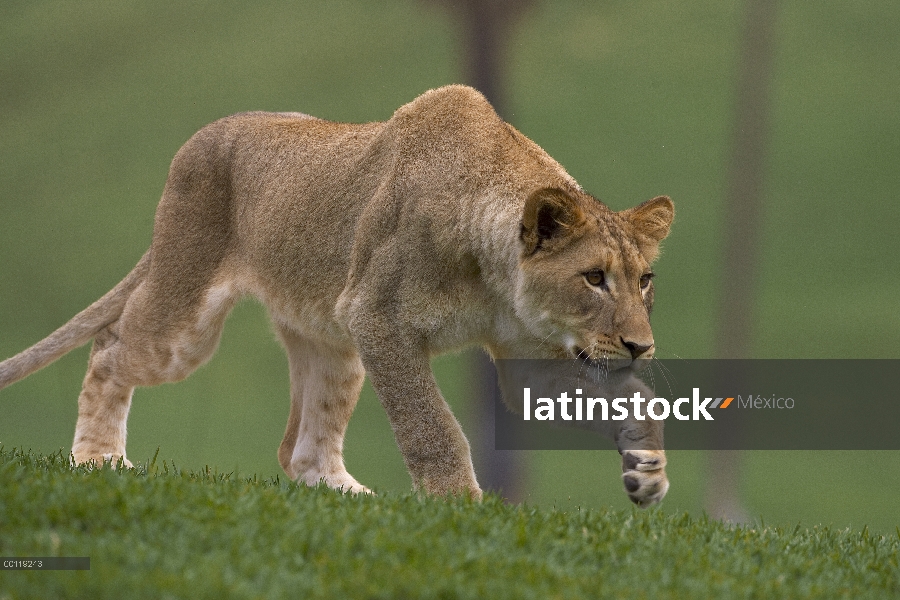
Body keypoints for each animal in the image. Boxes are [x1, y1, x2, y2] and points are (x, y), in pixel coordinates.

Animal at [0, 84, 672, 506]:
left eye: (643, 280)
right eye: (594, 277)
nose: (641, 347)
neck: (495, 279)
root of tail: (208, 131)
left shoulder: (527, 355)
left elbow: (617, 401)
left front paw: (647, 467)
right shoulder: (378, 318)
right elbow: (432, 426)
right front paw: (459, 508)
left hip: (332, 341)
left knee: (299, 447)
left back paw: (346, 493)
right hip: (186, 313)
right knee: (112, 347)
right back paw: (97, 458)